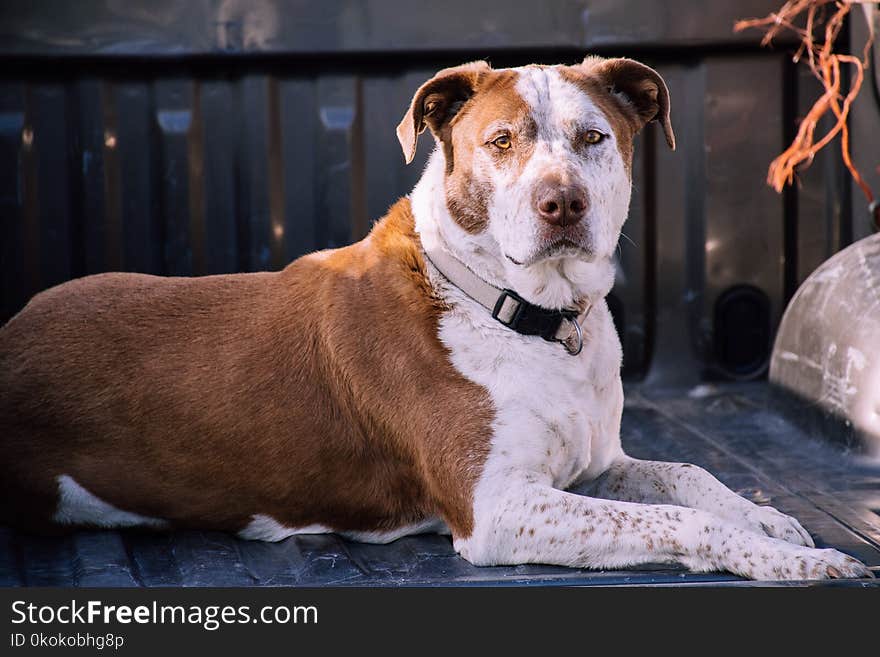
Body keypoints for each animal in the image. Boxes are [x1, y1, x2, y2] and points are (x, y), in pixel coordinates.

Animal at [0, 56, 868, 580]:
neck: (527, 314)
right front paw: (784, 559)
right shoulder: (500, 508)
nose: (561, 203)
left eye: (593, 136)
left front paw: (771, 520)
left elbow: (690, 475)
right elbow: (674, 522)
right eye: (501, 140)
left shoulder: (593, 463)